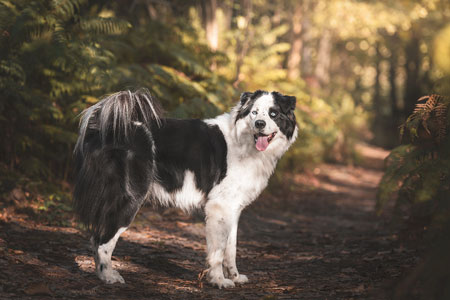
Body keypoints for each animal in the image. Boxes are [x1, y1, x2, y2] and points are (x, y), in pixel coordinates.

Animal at [73, 89, 298, 288]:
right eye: (254, 112)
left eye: (273, 114)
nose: (260, 124)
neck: (242, 140)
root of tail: (105, 126)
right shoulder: (219, 207)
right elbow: (218, 250)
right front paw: (219, 281)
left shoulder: (233, 209)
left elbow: (230, 248)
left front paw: (234, 277)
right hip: (131, 197)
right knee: (102, 241)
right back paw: (108, 276)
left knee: (95, 237)